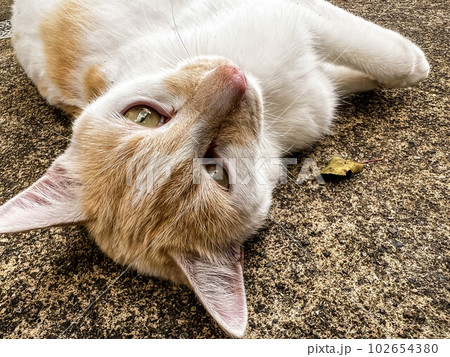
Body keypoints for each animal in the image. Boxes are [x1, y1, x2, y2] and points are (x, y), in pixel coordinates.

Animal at [0, 0, 428, 336]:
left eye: (142, 116)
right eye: (217, 172)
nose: (231, 79)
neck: (274, 117)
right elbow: (393, 62)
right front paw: (410, 63)